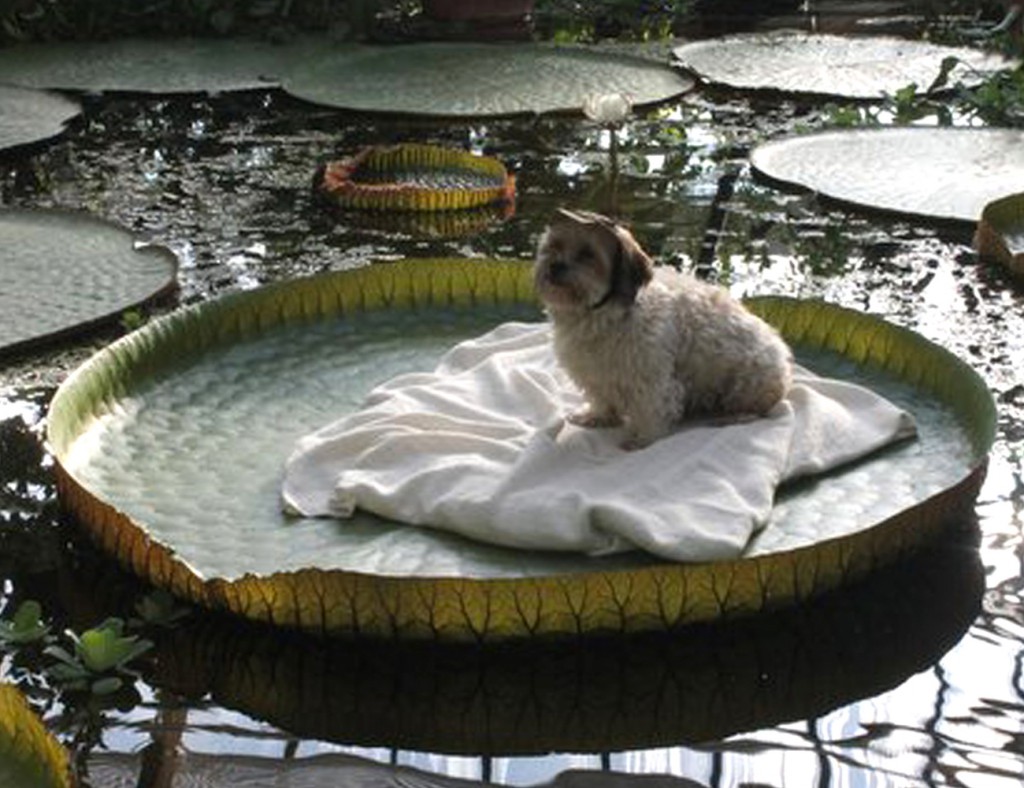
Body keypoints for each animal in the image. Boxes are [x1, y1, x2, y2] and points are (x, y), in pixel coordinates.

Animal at [532, 208, 794, 448]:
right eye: (554, 245)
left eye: (587, 254)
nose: (555, 265)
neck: (600, 314)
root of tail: (783, 355)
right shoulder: (595, 374)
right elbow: (603, 399)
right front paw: (598, 416)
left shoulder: (652, 378)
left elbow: (651, 409)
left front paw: (642, 440)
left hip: (750, 380)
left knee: (758, 409)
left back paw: (734, 416)